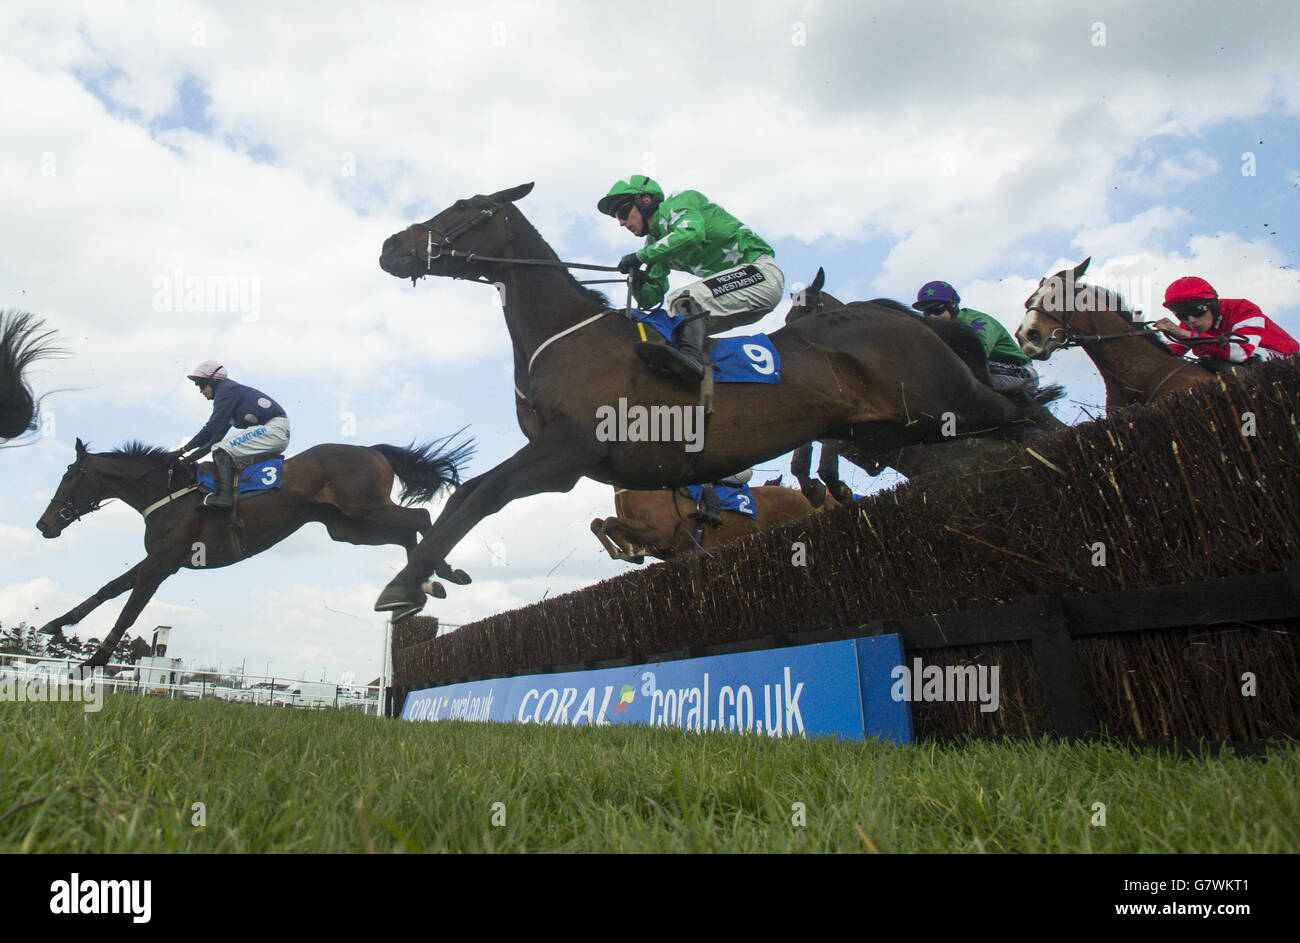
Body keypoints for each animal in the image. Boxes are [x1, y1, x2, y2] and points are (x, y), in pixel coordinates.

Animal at [32, 437, 473, 665]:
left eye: (70, 477)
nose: (44, 524)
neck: (168, 492)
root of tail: (371, 448)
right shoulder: (161, 559)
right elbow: (108, 588)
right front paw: (55, 623)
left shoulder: (162, 562)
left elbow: (130, 609)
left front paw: (94, 662)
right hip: (348, 527)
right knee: (407, 531)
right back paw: (424, 584)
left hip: (364, 509)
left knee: (418, 518)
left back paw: (441, 575)